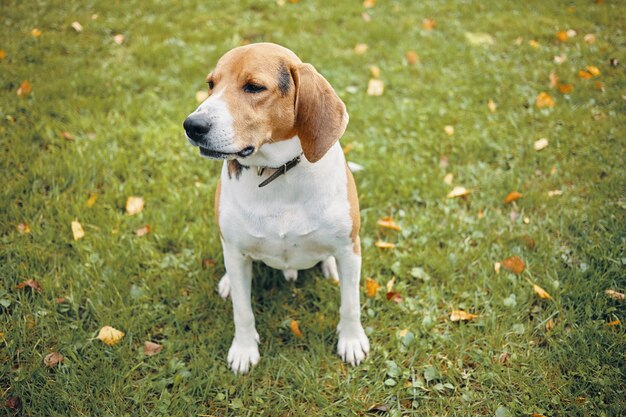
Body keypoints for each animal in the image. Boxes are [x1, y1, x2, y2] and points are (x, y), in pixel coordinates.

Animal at [180, 43, 368, 374]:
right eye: (211, 84)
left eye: (254, 87)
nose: (192, 125)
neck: (276, 173)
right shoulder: (236, 252)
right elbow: (242, 311)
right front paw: (244, 350)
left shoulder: (349, 250)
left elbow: (350, 304)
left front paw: (352, 340)